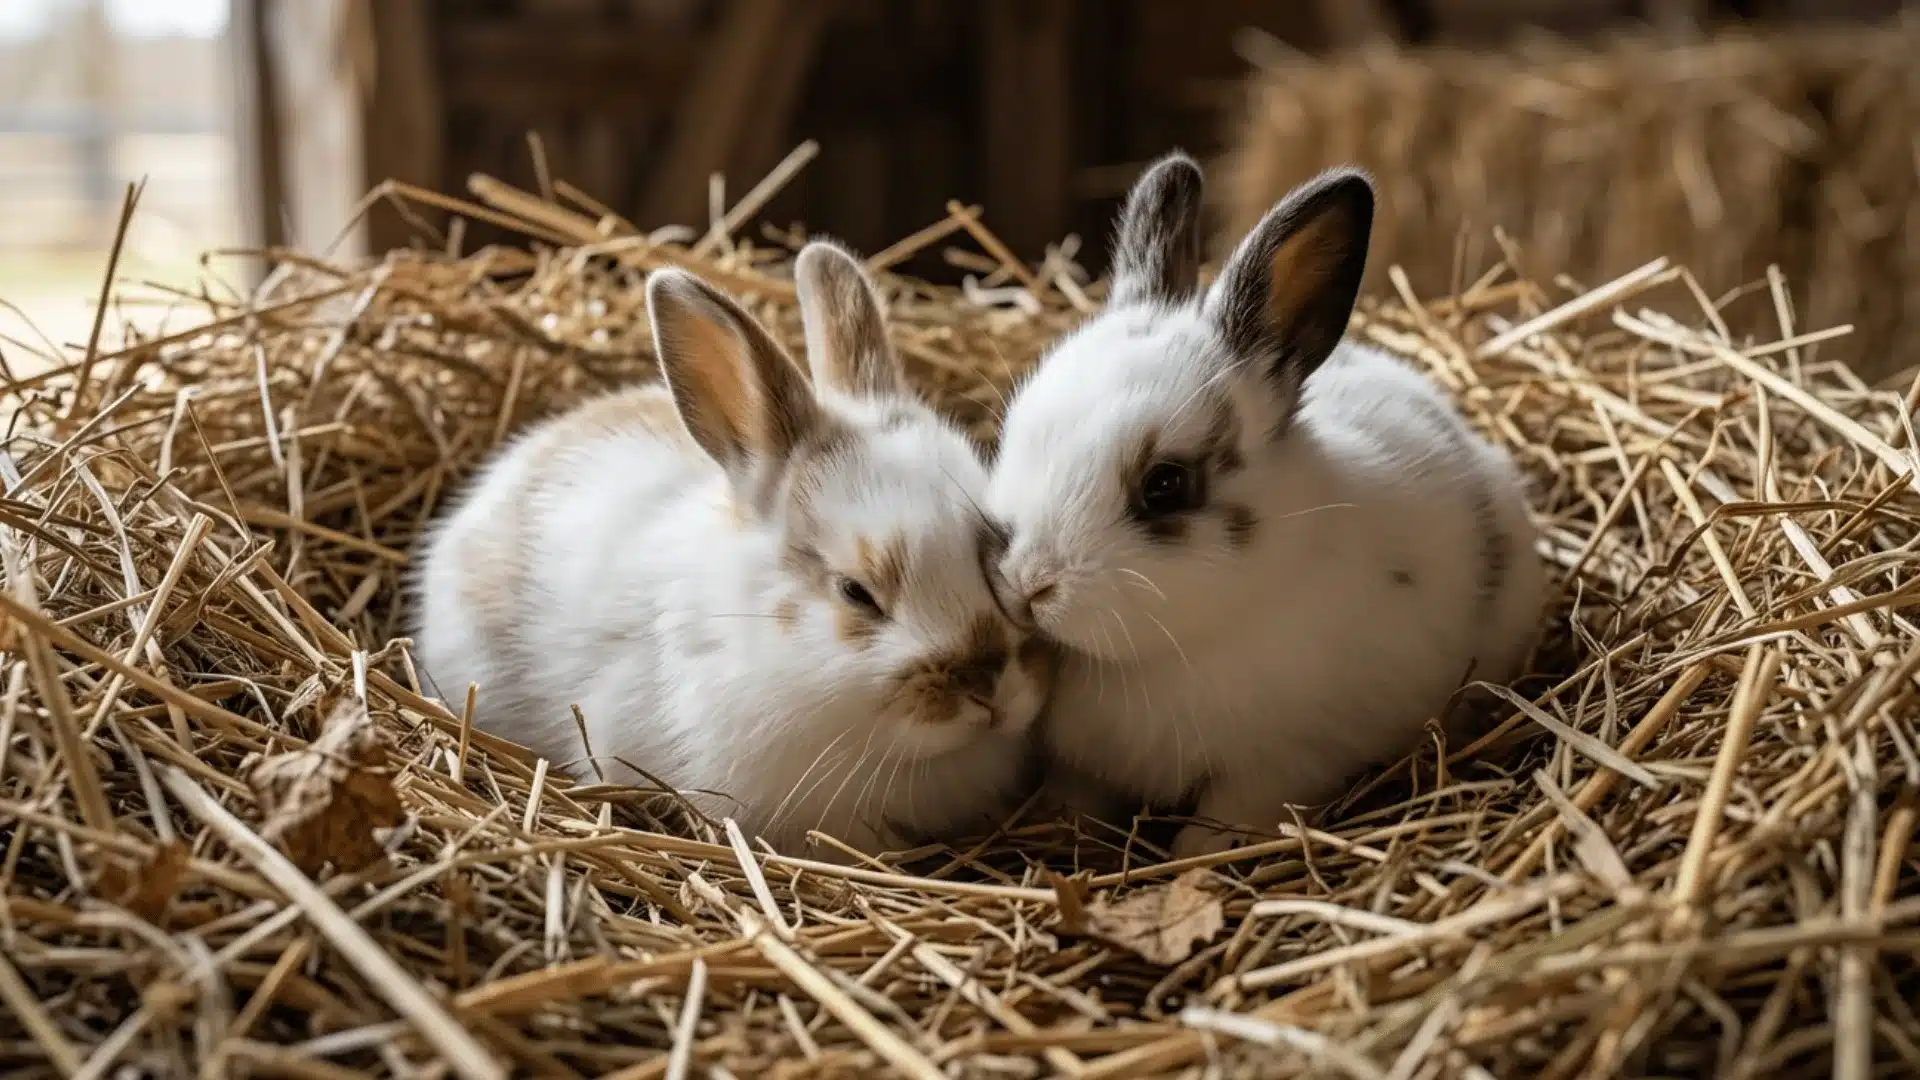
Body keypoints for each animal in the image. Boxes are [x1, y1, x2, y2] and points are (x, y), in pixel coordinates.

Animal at [983, 153, 1544, 859]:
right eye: (1012, 431)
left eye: (1165, 484)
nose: (1027, 584)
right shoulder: (1083, 768)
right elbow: (1076, 803)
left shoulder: (1278, 765)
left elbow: (1219, 827)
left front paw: (1190, 865)